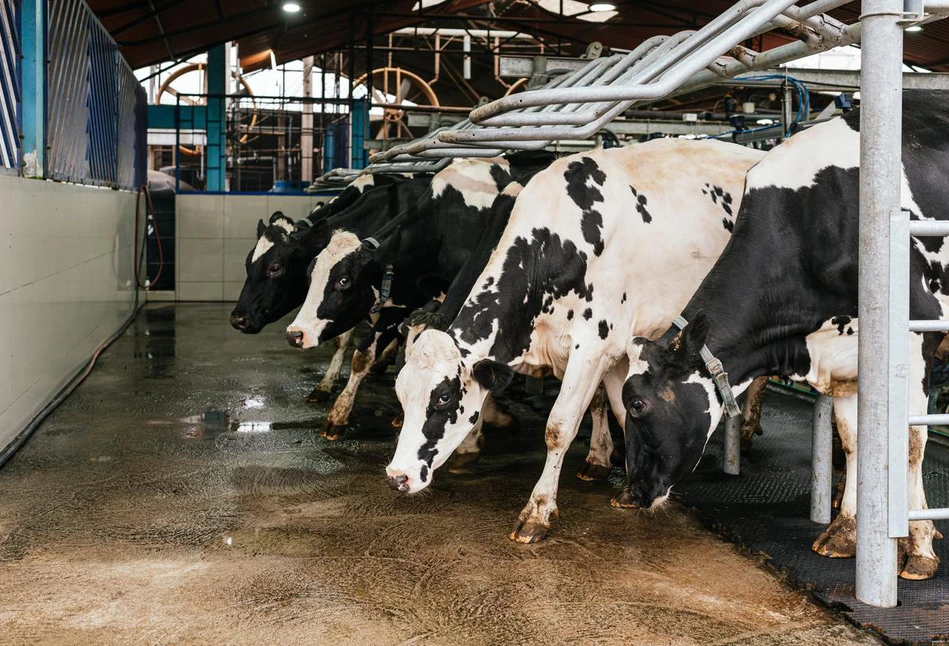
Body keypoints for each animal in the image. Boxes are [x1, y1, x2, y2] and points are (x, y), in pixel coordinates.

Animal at [286, 153, 560, 440]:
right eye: (309, 275)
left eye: (344, 280)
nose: (295, 334)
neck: (444, 224)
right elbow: (363, 353)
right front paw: (338, 413)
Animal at [386, 139, 764, 544]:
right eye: (401, 393)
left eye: (443, 397)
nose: (397, 477)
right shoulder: (615, 349)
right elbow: (616, 407)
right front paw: (621, 477)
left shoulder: (596, 344)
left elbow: (559, 426)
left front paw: (537, 510)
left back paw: (747, 429)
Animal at [624, 90, 948, 584]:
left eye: (638, 404)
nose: (631, 492)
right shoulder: (845, 354)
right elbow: (854, 439)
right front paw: (846, 532)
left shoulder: (914, 337)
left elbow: (910, 443)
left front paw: (920, 549)